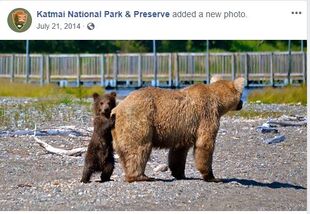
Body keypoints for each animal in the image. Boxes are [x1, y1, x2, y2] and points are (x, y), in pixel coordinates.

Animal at [111, 77, 245, 182]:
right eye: (241, 95)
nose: (242, 103)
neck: (218, 102)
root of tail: (117, 108)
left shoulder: (183, 129)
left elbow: (179, 151)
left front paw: (179, 173)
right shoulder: (206, 115)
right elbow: (205, 144)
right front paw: (212, 177)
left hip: (118, 130)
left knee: (125, 151)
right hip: (139, 119)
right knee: (139, 148)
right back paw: (141, 176)